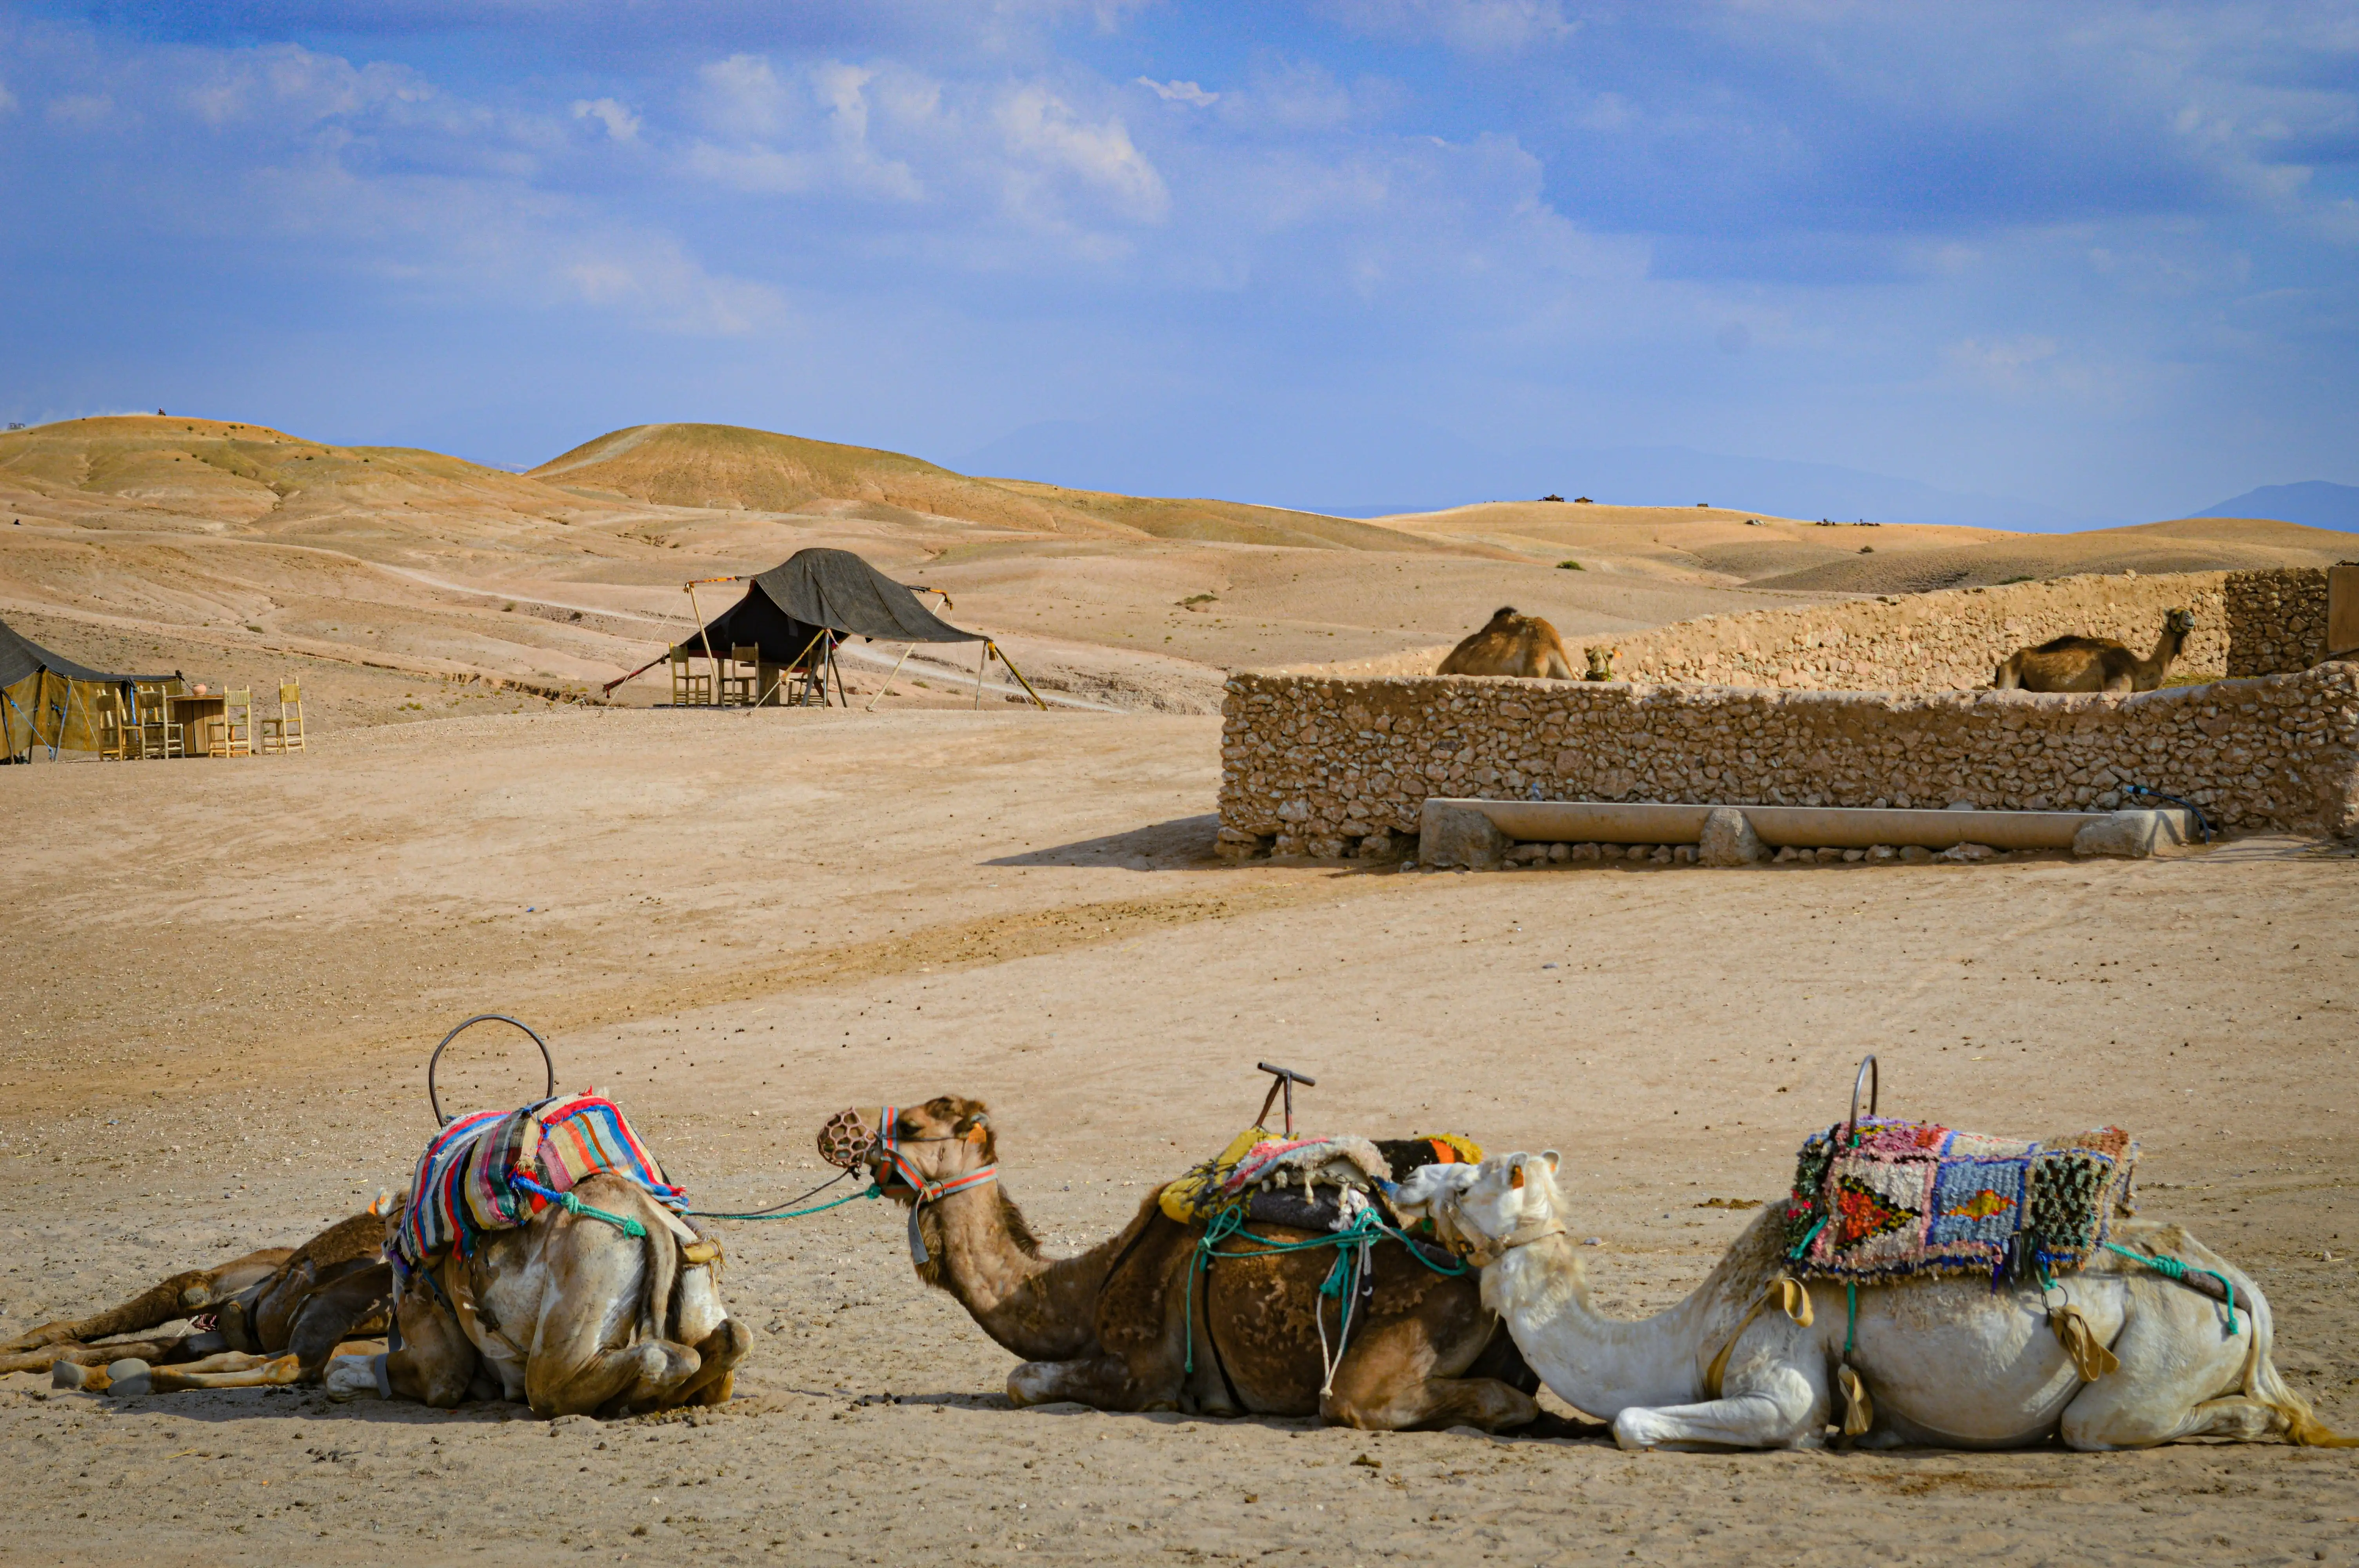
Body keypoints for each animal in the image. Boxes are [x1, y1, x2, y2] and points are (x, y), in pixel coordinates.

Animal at [849, 1099, 1547, 1434]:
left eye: (913, 1125)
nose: (843, 1132)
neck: (1081, 1292)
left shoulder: (1144, 1371)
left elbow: (1022, 1379)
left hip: (1417, 1329)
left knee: (1365, 1401)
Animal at [1387, 1146, 2349, 1452]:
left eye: (1470, 1182)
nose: (1406, 1176)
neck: (1677, 1335)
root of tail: (2243, 1289)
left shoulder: (1783, 1368)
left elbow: (1632, 1421)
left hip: (2150, 1355)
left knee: (2106, 1423)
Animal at [2000, 603, 2198, 693]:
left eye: (2189, 611)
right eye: (2175, 615)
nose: (2190, 618)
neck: (2137, 669)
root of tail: (2006, 662)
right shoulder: (2116, 683)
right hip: (2009, 675)